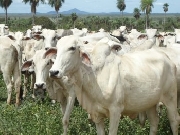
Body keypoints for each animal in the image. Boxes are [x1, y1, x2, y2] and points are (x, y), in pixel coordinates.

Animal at [47, 35, 180, 135]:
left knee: (174, 120)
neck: (93, 75)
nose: (54, 72)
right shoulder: (96, 114)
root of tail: (167, 58)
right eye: (57, 49)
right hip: (150, 103)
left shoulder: (115, 111)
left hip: (170, 98)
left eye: (72, 48)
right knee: (154, 122)